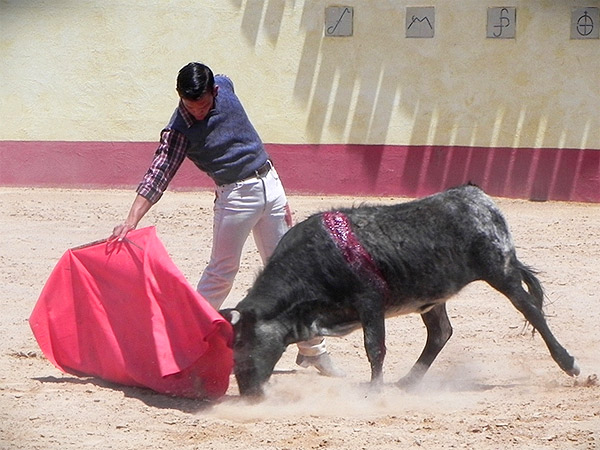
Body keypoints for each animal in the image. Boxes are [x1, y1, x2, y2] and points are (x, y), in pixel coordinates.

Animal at [221, 185, 580, 398]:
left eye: (243, 342)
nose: (248, 391)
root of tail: (477, 195)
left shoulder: (370, 302)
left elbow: (374, 347)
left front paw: (374, 390)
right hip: (434, 298)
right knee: (440, 333)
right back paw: (409, 381)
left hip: (500, 271)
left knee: (531, 309)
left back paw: (569, 363)